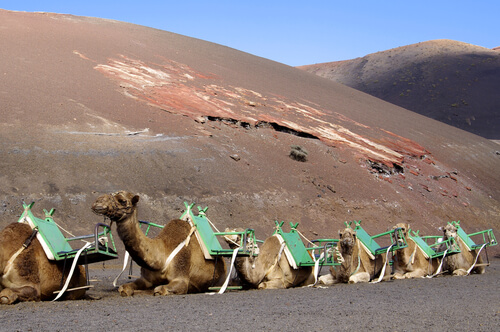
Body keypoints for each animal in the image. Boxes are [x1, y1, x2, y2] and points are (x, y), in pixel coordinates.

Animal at [91, 191, 227, 296]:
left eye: (122, 200)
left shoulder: (181, 277)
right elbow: (124, 288)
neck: (162, 255)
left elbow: (160, 289)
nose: (97, 202)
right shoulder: (146, 279)